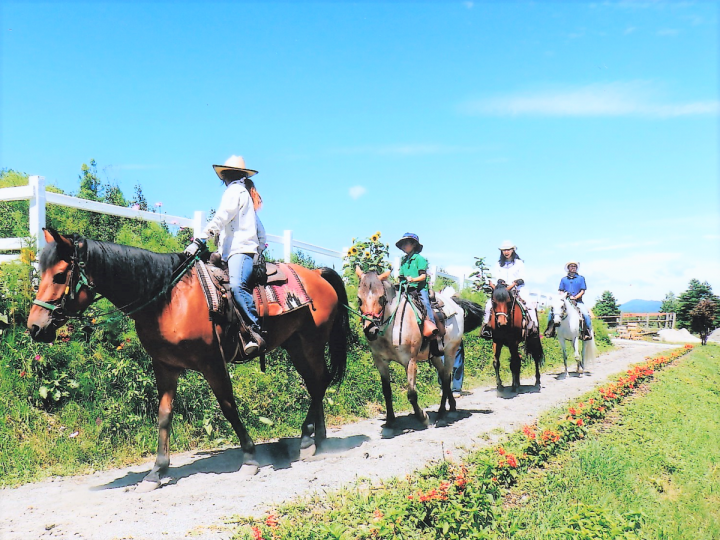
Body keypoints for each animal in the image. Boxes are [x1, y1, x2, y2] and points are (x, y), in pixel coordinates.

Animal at [25, 230, 346, 492]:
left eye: (58, 276)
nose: (34, 327)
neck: (167, 299)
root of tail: (317, 273)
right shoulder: (165, 366)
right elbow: (164, 414)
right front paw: (156, 472)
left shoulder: (212, 362)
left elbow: (228, 407)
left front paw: (249, 457)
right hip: (296, 345)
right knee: (316, 383)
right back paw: (316, 437)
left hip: (311, 343)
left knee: (319, 382)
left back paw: (308, 441)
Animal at [354, 268, 484, 428]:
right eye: (359, 299)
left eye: (381, 298)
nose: (371, 331)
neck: (392, 327)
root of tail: (455, 304)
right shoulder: (380, 362)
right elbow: (387, 391)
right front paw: (390, 419)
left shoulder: (410, 361)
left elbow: (411, 393)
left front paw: (422, 417)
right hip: (435, 355)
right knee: (444, 376)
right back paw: (452, 406)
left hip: (450, 352)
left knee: (446, 378)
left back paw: (441, 412)